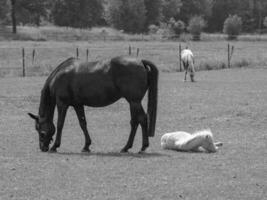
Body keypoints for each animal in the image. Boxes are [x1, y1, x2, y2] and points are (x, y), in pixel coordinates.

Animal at [28, 56, 159, 153]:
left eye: (40, 131)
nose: (43, 148)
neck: (59, 76)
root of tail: (140, 62)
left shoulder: (62, 104)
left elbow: (60, 124)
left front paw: (55, 146)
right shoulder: (78, 105)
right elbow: (83, 123)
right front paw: (86, 146)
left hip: (134, 102)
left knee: (142, 119)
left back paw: (142, 147)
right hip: (133, 102)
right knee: (135, 122)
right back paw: (127, 147)